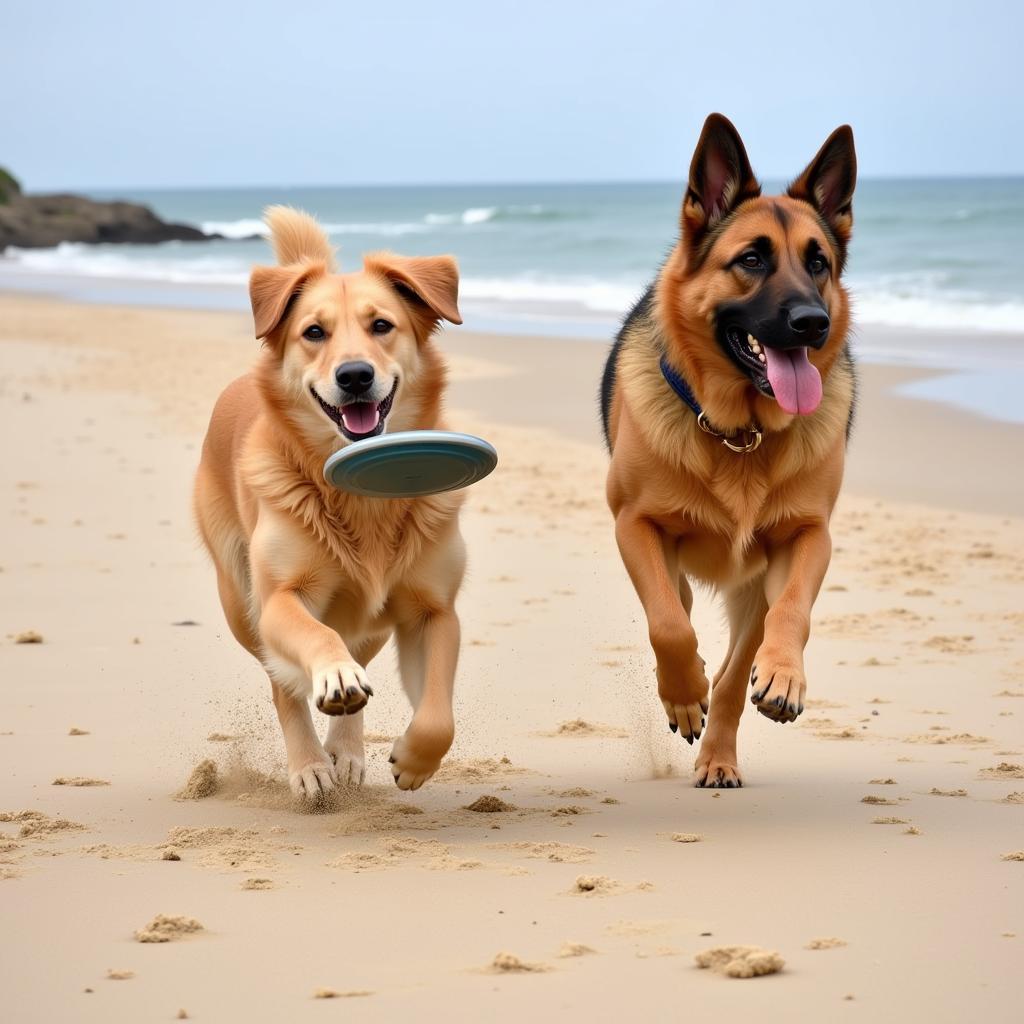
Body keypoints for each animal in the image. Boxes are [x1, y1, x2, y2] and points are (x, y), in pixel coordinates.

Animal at [598, 112, 856, 786]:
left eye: (819, 263)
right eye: (752, 259)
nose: (813, 322)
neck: (740, 433)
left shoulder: (804, 540)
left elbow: (771, 637)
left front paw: (781, 677)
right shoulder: (635, 526)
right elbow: (668, 625)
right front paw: (686, 694)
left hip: (751, 588)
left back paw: (718, 753)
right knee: (678, 607)